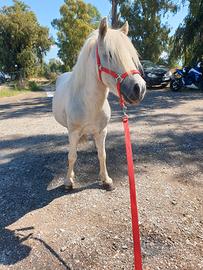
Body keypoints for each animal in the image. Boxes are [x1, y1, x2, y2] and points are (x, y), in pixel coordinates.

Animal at [52, 17, 146, 191]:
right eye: (109, 54)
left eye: (131, 56)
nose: (139, 88)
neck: (89, 104)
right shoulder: (73, 132)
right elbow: (72, 156)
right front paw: (68, 181)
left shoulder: (102, 131)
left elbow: (102, 154)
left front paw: (106, 180)